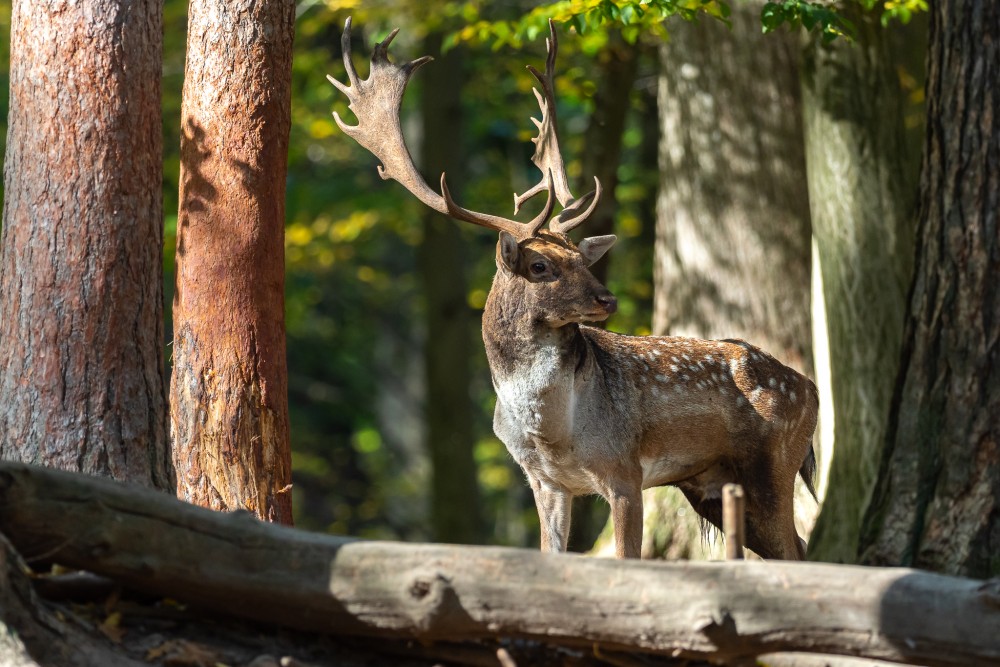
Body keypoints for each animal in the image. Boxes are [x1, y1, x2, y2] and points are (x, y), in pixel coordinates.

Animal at [332, 18, 816, 560]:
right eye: (540, 265)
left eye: (584, 259)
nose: (608, 299)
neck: (551, 429)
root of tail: (811, 388)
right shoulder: (545, 482)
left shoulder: (623, 469)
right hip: (711, 484)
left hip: (775, 462)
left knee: (802, 549)